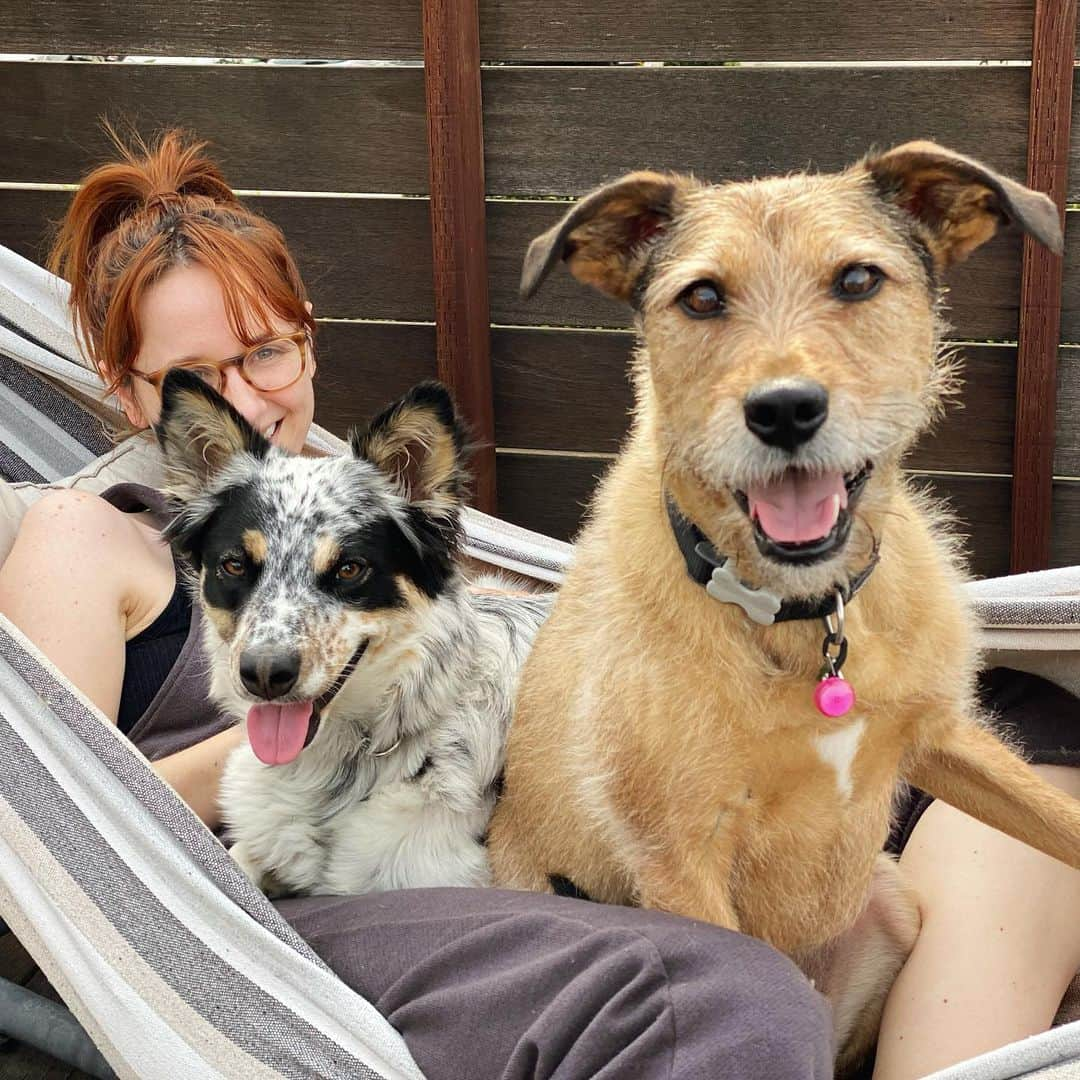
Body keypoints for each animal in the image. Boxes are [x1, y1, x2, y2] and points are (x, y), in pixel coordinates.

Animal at [490, 143, 1080, 1071]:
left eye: (858, 279)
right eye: (701, 297)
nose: (785, 409)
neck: (803, 619)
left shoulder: (941, 738)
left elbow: (1061, 820)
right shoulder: (681, 862)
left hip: (890, 902)